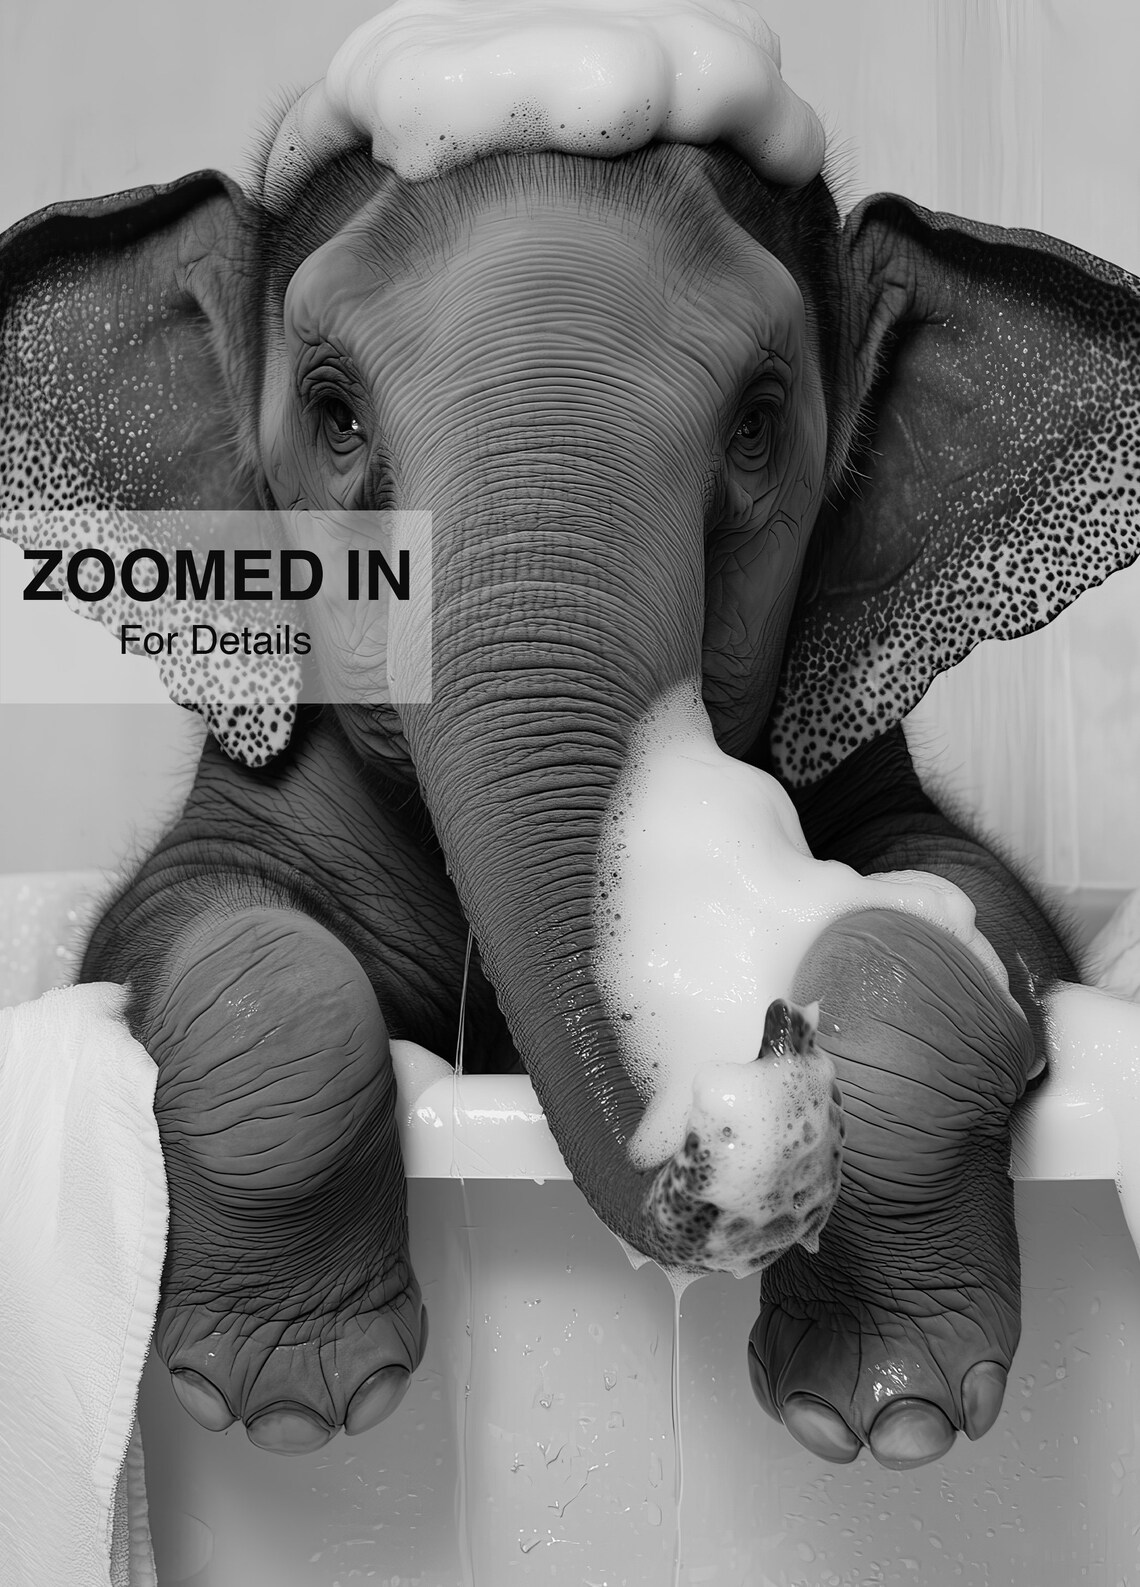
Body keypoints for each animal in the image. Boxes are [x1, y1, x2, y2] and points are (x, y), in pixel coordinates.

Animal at [3, 17, 1140, 1474]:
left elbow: (978, 905)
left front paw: (894, 1410)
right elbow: (192, 922)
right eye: (334, 413)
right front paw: (296, 1399)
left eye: (760, 419)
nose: (750, 1064)